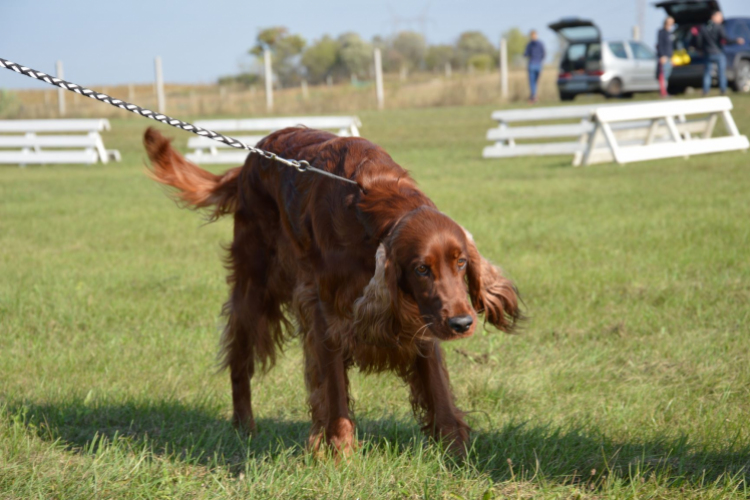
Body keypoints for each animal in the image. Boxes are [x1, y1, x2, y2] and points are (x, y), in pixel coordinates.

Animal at [147, 126, 524, 458]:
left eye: (461, 262)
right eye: (421, 268)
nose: (462, 324)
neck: (372, 207)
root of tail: (251, 158)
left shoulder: (421, 316)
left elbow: (438, 389)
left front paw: (456, 452)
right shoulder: (324, 313)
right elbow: (333, 389)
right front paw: (338, 451)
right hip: (254, 287)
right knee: (239, 359)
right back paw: (244, 427)